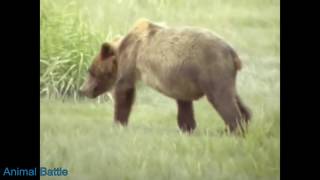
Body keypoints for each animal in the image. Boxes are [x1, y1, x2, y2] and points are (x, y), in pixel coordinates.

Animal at [79, 18, 251, 134]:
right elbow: (184, 103)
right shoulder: (180, 76)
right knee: (234, 96)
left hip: (211, 67)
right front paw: (187, 127)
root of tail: (232, 52)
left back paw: (234, 129)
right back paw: (244, 120)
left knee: (221, 99)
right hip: (221, 73)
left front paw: (118, 123)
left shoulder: (131, 60)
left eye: (90, 71)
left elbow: (125, 90)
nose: (83, 89)